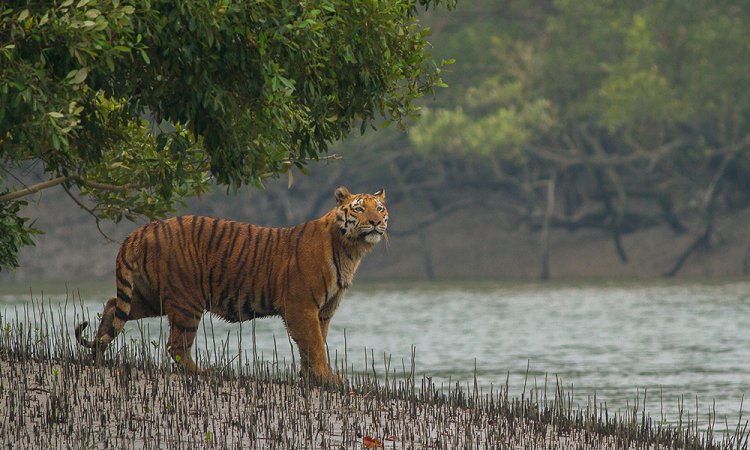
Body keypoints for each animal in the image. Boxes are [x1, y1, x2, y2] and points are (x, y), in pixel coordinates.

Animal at [75, 185, 388, 382]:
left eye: (380, 209)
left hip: (150, 296)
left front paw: (313, 376)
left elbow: (315, 344)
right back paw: (202, 373)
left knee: (113, 305)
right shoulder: (301, 306)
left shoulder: (323, 311)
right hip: (187, 301)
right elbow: (314, 344)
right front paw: (326, 378)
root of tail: (142, 229)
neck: (350, 250)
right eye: (359, 209)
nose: (375, 222)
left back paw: (98, 356)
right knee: (176, 346)